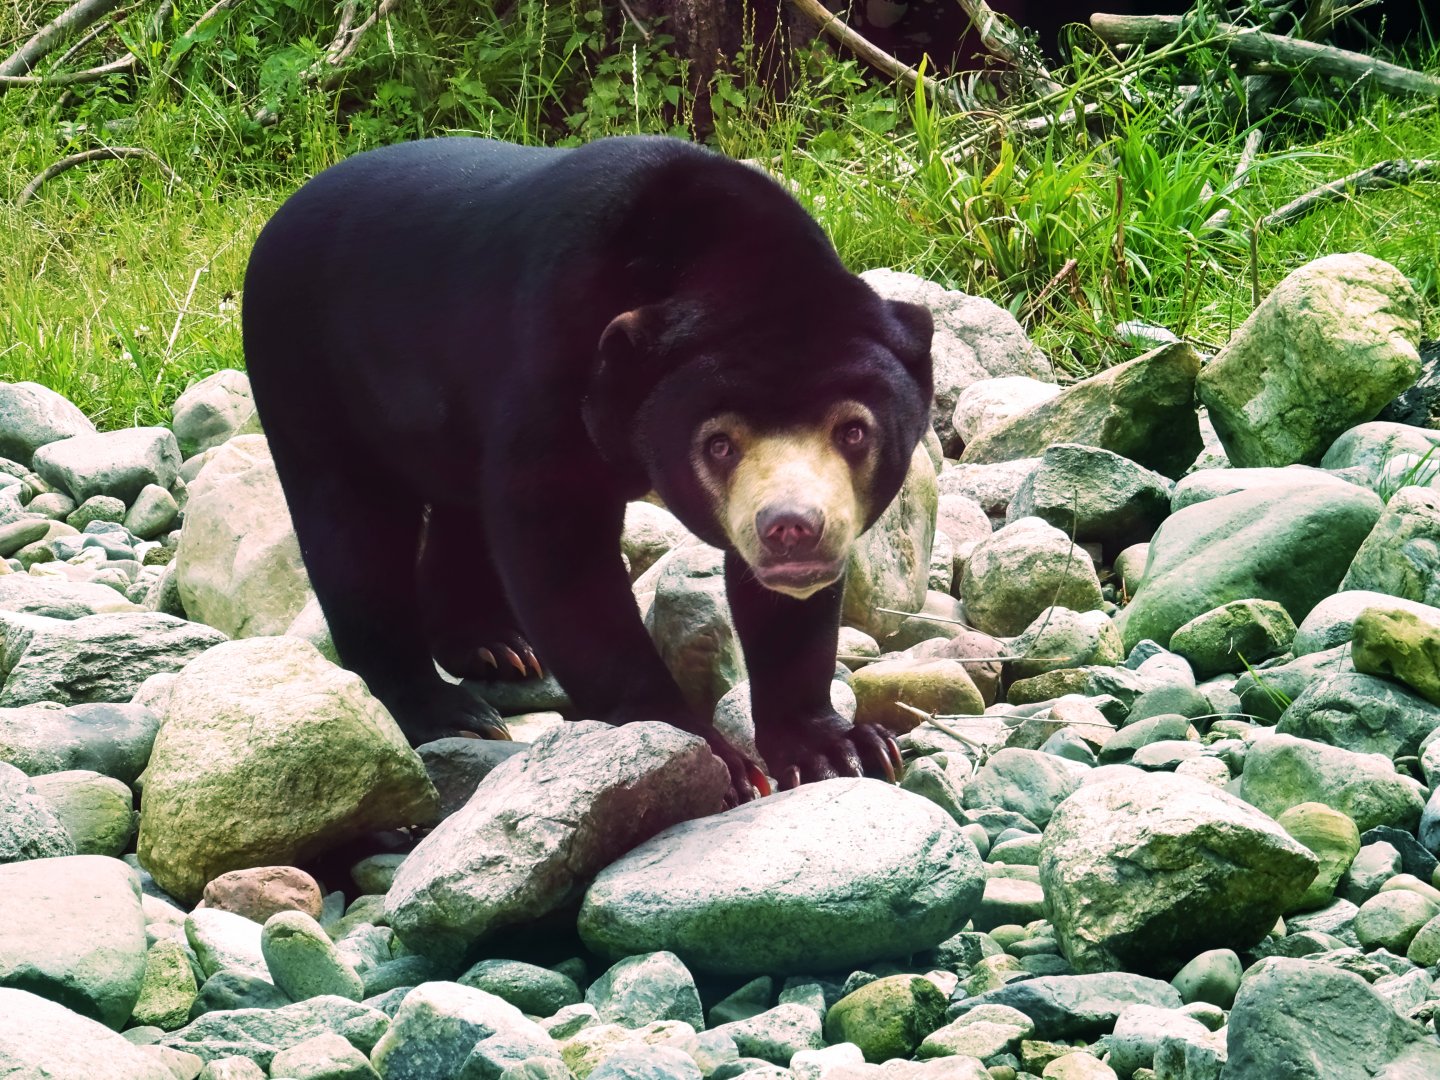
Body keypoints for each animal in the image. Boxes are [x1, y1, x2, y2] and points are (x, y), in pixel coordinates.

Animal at [242, 135, 934, 803]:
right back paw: (448, 711)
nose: (792, 527)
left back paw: (495, 646)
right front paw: (715, 760)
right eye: (718, 445)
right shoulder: (551, 364)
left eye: (853, 431)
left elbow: (788, 612)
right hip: (307, 374)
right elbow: (558, 554)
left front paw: (840, 749)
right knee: (354, 534)